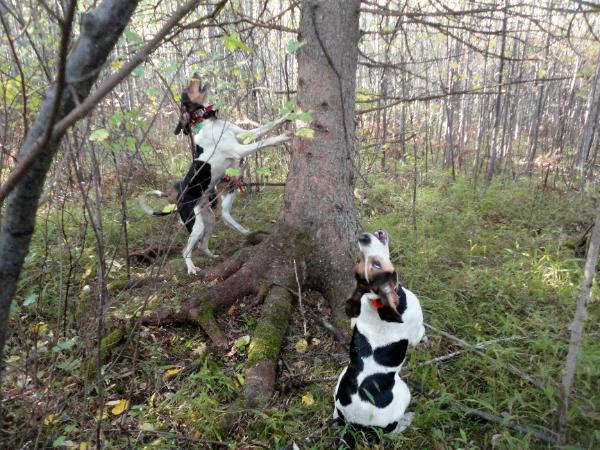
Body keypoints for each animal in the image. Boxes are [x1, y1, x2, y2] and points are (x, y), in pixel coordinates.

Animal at [141, 74, 290, 274]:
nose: (195, 73)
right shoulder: (238, 149)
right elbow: (265, 141)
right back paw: (192, 268)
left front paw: (289, 115)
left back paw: (213, 257)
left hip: (209, 219)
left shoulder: (244, 134)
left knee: (203, 244)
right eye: (187, 90)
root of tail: (178, 197)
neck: (208, 121)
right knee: (185, 250)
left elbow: (268, 125)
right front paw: (285, 136)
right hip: (196, 225)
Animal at [332, 230, 426, 444]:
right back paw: (407, 420)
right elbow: (420, 333)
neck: (375, 299)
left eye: (359, 260)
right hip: (404, 392)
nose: (363, 237)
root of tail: (354, 425)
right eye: (376, 265)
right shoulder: (416, 328)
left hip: (341, 378)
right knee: (391, 430)